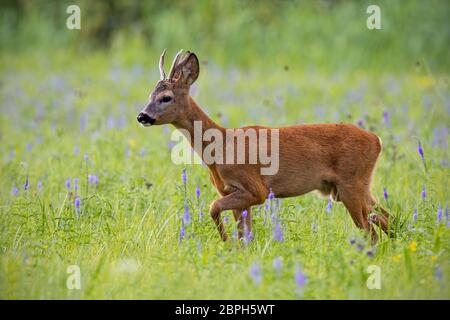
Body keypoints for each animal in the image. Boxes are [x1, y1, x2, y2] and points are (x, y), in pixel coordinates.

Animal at [136, 48, 390, 241]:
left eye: (166, 97)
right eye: (149, 95)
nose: (142, 116)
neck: (220, 146)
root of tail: (376, 140)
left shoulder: (255, 189)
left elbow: (213, 207)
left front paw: (225, 241)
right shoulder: (234, 193)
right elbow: (244, 234)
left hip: (351, 184)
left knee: (371, 231)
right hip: (350, 187)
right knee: (387, 217)